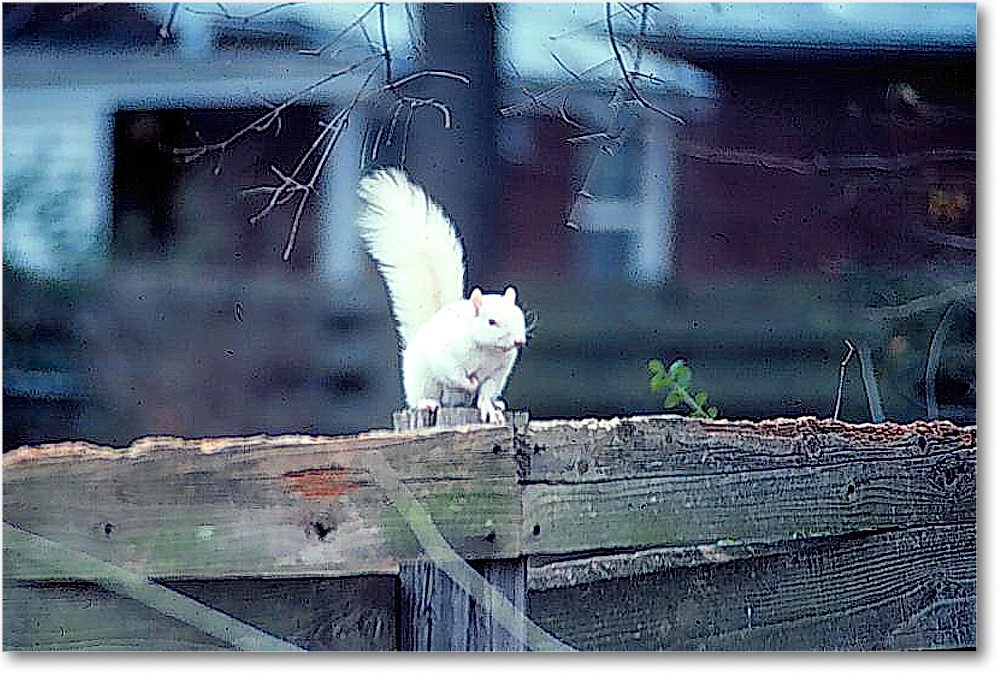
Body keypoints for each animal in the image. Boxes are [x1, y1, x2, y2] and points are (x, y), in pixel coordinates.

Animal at [356, 168, 527, 424]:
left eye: (520, 317)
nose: (518, 341)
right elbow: (453, 372)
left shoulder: (498, 372)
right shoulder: (446, 354)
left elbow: (487, 389)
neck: (486, 350)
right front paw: (470, 382)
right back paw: (427, 403)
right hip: (423, 380)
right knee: (424, 395)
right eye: (491, 321)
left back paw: (498, 403)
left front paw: (489, 406)